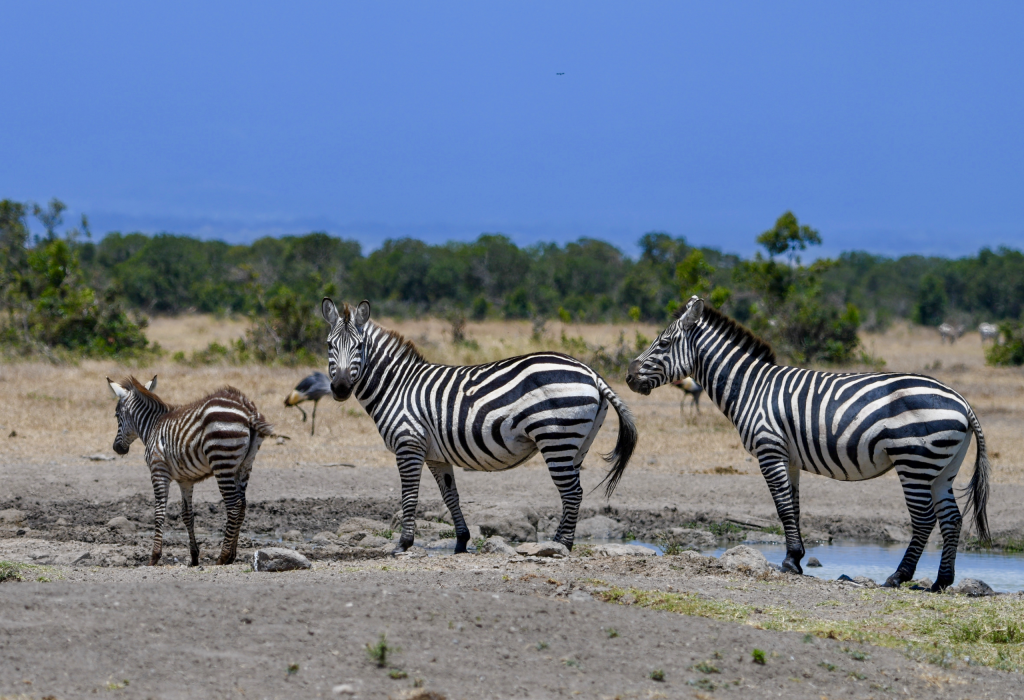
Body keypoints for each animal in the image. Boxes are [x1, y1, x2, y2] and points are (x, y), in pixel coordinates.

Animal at [105, 374, 272, 564]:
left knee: (234, 505)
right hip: (244, 465)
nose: (117, 448)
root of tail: (247, 409)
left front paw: (154, 556)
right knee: (242, 505)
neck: (153, 426)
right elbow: (187, 515)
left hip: (222, 460)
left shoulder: (158, 470)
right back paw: (231, 556)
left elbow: (159, 512)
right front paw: (194, 557)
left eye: (116, 415)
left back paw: (222, 557)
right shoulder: (185, 480)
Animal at [323, 298, 634, 556]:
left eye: (359, 347)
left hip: (556, 439)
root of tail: (591, 372)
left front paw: (403, 543)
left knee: (572, 492)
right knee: (574, 492)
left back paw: (561, 545)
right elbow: (450, 497)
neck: (397, 386)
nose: (340, 388)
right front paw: (461, 541)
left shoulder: (408, 444)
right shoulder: (436, 456)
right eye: (328, 345)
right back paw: (560, 542)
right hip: (578, 445)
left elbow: (409, 495)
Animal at [622, 296, 991, 589]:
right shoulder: (791, 457)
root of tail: (963, 402)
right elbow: (794, 506)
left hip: (914, 460)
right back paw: (942, 581)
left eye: (664, 343)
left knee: (925, 518)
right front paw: (795, 558)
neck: (751, 388)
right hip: (943, 467)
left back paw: (898, 576)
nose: (628, 376)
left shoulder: (769, 449)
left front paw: (789, 563)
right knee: (951, 518)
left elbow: (782, 506)